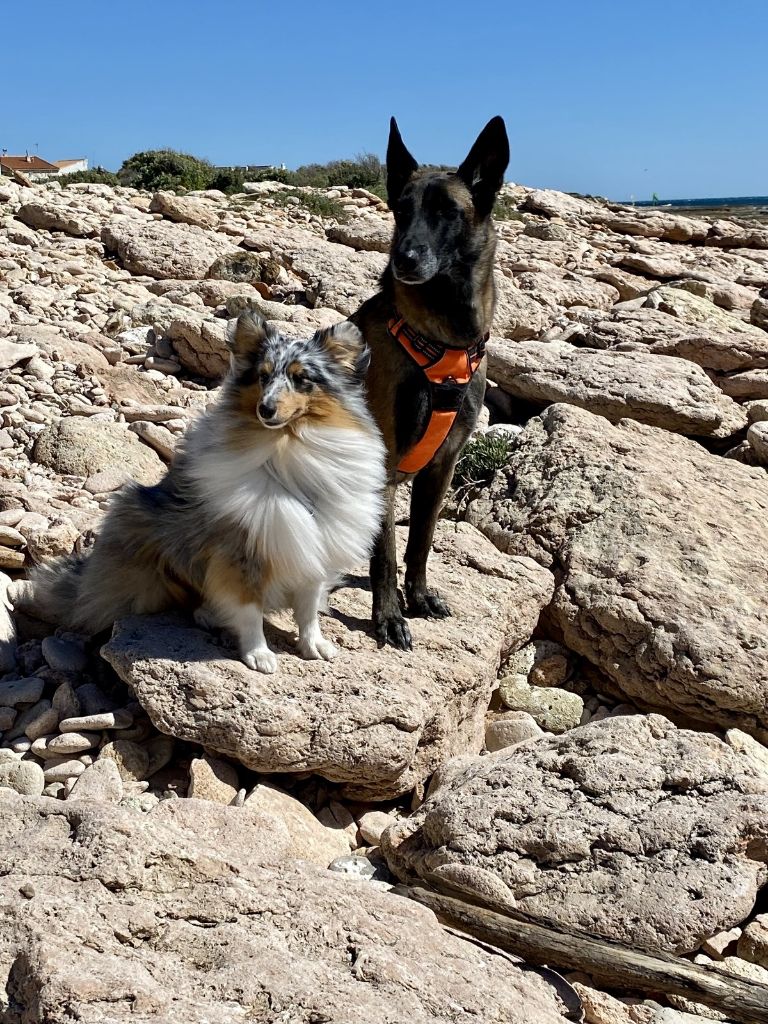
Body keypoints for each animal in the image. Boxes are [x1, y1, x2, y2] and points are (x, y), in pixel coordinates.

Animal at [354, 116, 512, 651]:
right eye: (401, 211)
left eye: (446, 212)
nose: (404, 259)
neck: (441, 342)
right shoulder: (382, 467)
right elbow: (384, 554)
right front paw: (388, 616)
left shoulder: (441, 467)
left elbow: (420, 540)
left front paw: (418, 597)